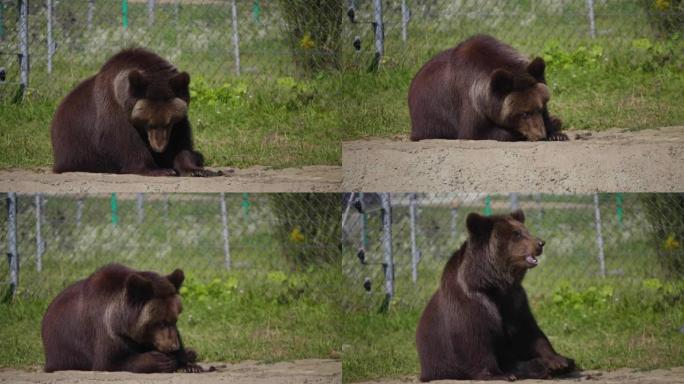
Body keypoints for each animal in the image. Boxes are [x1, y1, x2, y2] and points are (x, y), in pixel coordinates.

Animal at [41, 264, 203, 372]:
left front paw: (190, 365)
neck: (120, 322)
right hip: (62, 350)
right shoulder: (106, 331)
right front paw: (161, 360)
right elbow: (110, 362)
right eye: (160, 322)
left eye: (175, 319)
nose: (173, 346)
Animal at [51, 47, 222, 177]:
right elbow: (126, 141)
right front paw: (159, 170)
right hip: (79, 149)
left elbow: (181, 141)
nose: (159, 148)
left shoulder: (179, 119)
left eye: (169, 122)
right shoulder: (113, 110)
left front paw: (197, 170)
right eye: (149, 123)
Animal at [412, 34, 568, 142]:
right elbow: (475, 133)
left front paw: (557, 133)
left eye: (540, 108)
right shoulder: (469, 103)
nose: (540, 135)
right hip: (429, 120)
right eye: (523, 113)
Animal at [414, 210, 576, 380]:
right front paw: (500, 374)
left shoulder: (516, 300)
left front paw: (559, 361)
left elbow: (530, 332)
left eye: (526, 230)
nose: (540, 243)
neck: (493, 284)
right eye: (516, 234)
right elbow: (477, 340)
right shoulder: (471, 302)